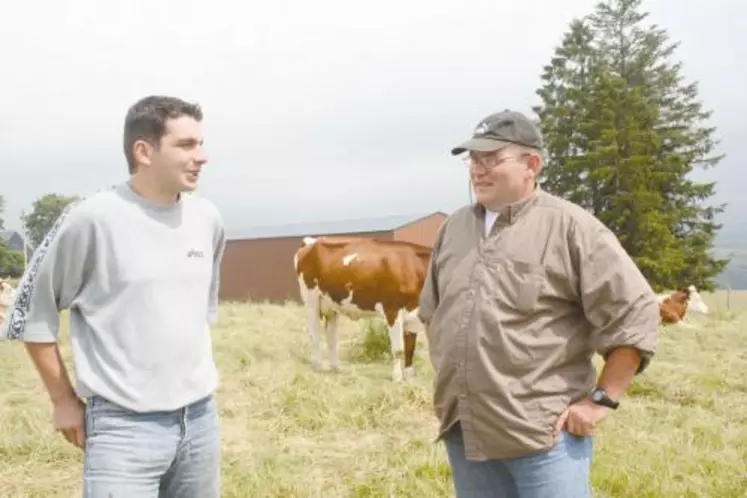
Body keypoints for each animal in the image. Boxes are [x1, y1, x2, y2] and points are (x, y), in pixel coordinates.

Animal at [294, 235, 432, 384]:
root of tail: (312, 241)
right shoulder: (392, 309)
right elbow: (398, 350)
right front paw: (397, 378)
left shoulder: (413, 314)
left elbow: (410, 348)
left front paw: (409, 377)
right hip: (311, 300)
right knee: (315, 335)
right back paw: (318, 366)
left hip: (331, 306)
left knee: (331, 337)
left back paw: (336, 368)